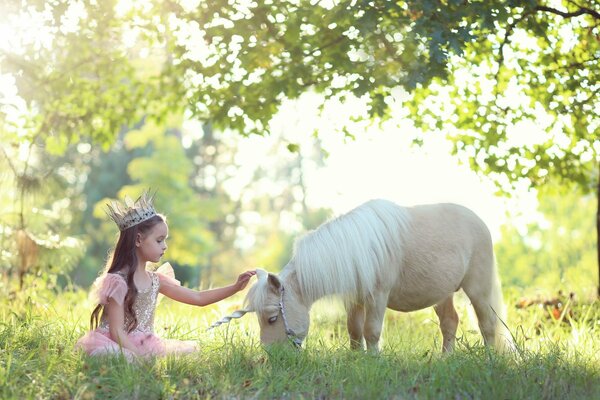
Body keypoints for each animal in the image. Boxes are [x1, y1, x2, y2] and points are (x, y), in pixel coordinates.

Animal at [211, 198, 510, 352]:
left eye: (273, 318)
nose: (272, 356)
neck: (354, 249)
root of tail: (479, 222)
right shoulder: (354, 299)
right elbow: (354, 330)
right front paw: (356, 360)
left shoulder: (377, 297)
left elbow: (371, 331)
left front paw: (375, 360)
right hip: (442, 294)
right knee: (449, 323)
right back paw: (444, 360)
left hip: (478, 290)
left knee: (487, 324)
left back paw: (489, 360)